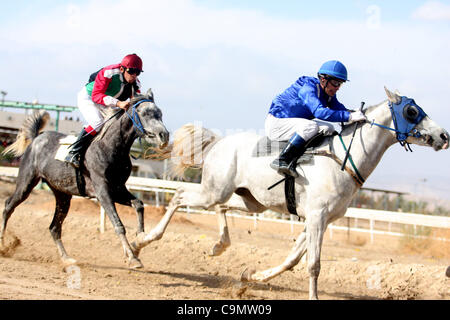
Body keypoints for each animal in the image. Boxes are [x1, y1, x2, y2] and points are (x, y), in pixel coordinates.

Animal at [1, 89, 169, 268]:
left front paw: (140, 237)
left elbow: (139, 204)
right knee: (8, 206)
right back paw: (3, 245)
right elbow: (118, 224)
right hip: (26, 182)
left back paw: (66, 258)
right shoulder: (102, 191)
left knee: (54, 227)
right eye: (144, 113)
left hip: (62, 194)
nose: (164, 135)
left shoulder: (117, 189)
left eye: (160, 113)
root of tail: (35, 139)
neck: (111, 147)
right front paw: (132, 257)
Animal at [132, 86, 448, 298]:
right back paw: (139, 243)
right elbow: (313, 264)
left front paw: (253, 276)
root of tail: (219, 141)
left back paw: (219, 245)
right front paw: (313, 296)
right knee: (179, 196)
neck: (343, 159)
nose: (444, 136)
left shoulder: (321, 220)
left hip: (250, 201)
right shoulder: (317, 217)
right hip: (213, 190)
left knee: (221, 207)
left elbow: (294, 258)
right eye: (411, 111)